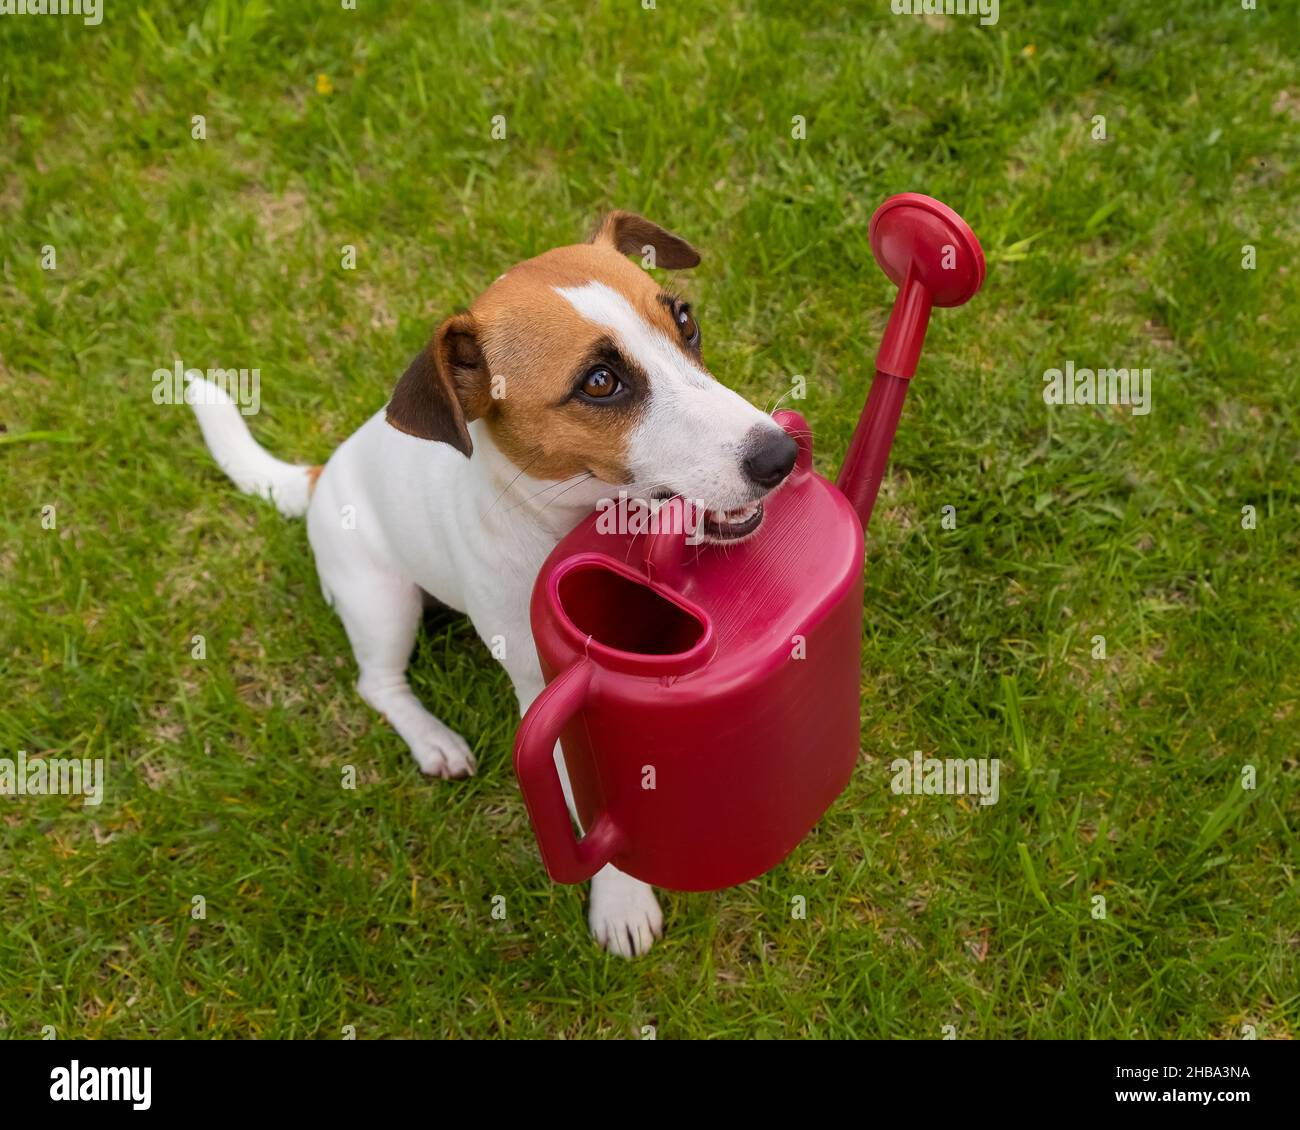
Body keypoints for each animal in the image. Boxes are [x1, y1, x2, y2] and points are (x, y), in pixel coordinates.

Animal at [189, 211, 800, 951]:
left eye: (685, 320)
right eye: (600, 382)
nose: (782, 454)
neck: (564, 517)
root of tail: (323, 471)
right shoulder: (548, 695)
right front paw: (622, 900)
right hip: (382, 600)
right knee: (377, 683)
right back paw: (433, 741)